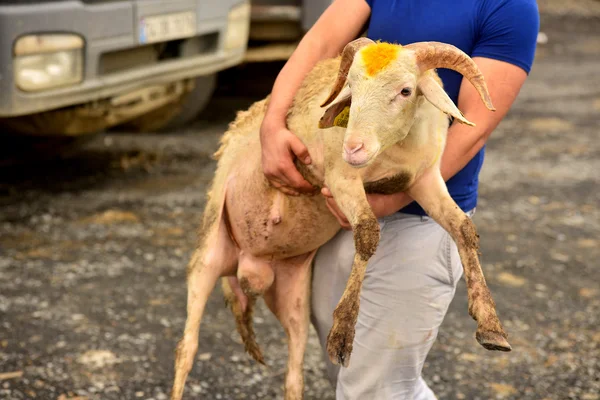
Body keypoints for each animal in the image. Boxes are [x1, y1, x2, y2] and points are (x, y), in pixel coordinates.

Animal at [169, 38, 510, 400]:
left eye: (405, 91)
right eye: (352, 88)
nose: (354, 148)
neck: (393, 152)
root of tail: (246, 270)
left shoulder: (426, 178)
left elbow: (463, 228)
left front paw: (491, 325)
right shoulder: (339, 179)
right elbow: (367, 232)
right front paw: (343, 335)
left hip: (294, 298)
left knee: (294, 373)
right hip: (209, 251)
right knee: (187, 348)